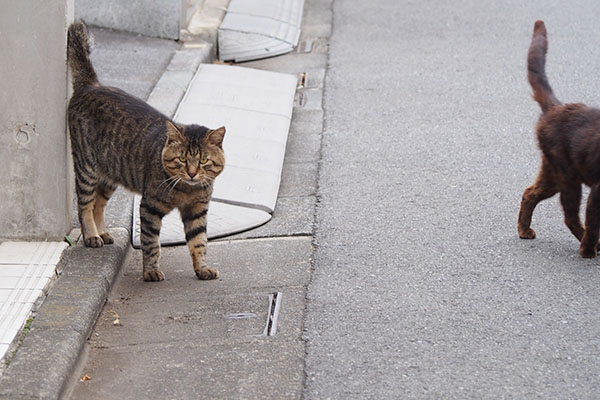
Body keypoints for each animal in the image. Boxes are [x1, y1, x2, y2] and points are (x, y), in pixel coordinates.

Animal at [66, 21, 225, 278]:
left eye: (202, 161)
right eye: (182, 159)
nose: (192, 173)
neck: (186, 190)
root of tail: (91, 85)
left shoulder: (197, 211)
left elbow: (199, 242)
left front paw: (202, 268)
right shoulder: (150, 208)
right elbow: (151, 244)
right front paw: (151, 271)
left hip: (110, 174)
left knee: (98, 203)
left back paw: (102, 233)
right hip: (86, 168)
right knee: (84, 205)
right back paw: (91, 235)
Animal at [516, 21, 600, 260]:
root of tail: (557, 107)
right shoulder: (598, 191)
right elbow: (593, 224)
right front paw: (588, 250)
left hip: (553, 173)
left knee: (529, 192)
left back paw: (524, 230)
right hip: (567, 176)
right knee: (570, 216)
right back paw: (588, 246)